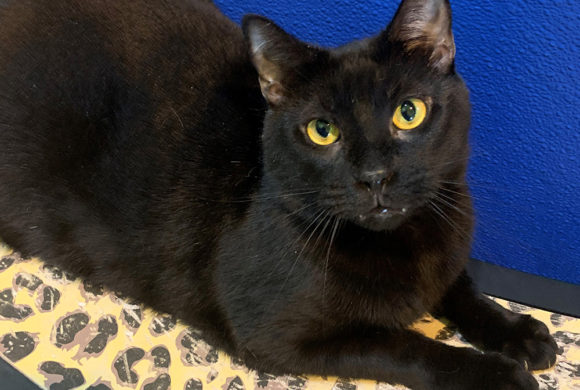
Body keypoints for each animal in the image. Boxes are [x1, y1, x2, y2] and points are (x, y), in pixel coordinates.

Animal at [0, 0, 560, 388]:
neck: (405, 243)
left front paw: (519, 333)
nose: (375, 176)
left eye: (409, 112)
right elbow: (403, 346)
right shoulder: (276, 336)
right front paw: (493, 373)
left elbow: (461, 287)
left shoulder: (444, 239)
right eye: (321, 131)